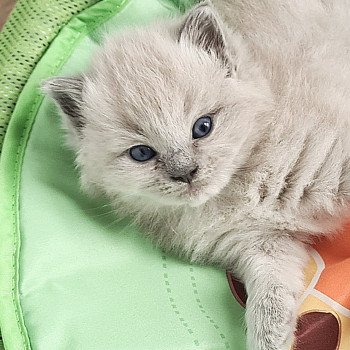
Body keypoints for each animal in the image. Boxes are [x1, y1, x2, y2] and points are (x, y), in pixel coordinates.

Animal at [44, 0, 350, 350]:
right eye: (141, 153)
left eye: (202, 127)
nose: (186, 172)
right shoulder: (264, 244)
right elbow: (268, 305)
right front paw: (270, 341)